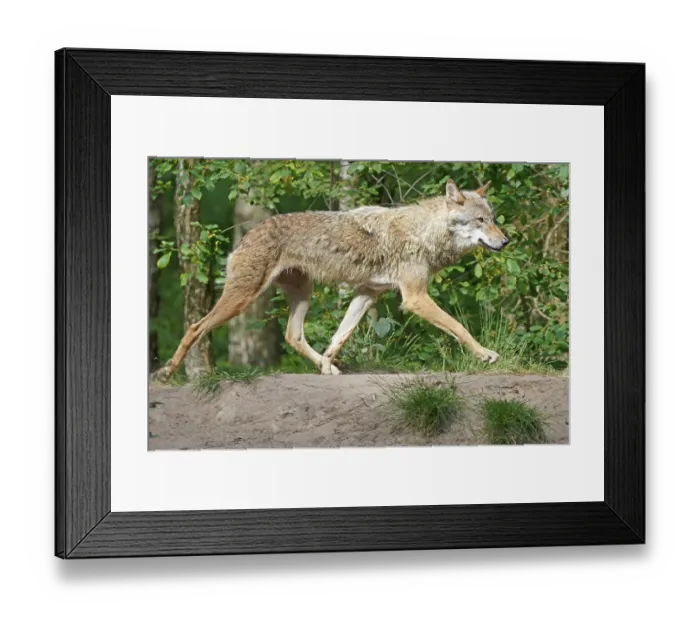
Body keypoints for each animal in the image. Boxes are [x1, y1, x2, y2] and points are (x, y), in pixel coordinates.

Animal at [155, 179, 510, 380]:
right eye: (480, 221)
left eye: (494, 219)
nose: (506, 241)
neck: (425, 234)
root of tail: (246, 235)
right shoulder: (414, 298)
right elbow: (458, 327)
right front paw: (486, 354)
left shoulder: (367, 293)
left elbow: (339, 337)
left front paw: (327, 364)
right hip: (242, 299)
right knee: (195, 327)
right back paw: (167, 372)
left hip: (303, 294)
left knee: (292, 335)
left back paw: (325, 368)